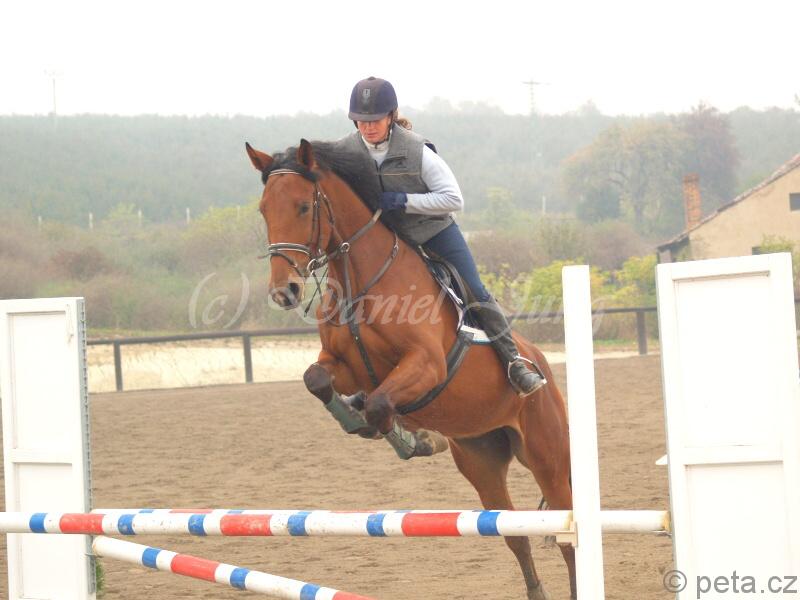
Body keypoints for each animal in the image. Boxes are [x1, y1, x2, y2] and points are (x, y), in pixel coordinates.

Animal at [246, 139, 575, 600]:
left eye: (302, 207)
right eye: (263, 209)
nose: (285, 292)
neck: (360, 281)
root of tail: (542, 363)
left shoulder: (426, 364)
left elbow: (381, 405)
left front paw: (414, 439)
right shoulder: (345, 367)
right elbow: (319, 380)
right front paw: (372, 423)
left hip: (547, 456)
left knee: (567, 536)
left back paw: (521, 375)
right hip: (482, 461)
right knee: (515, 535)